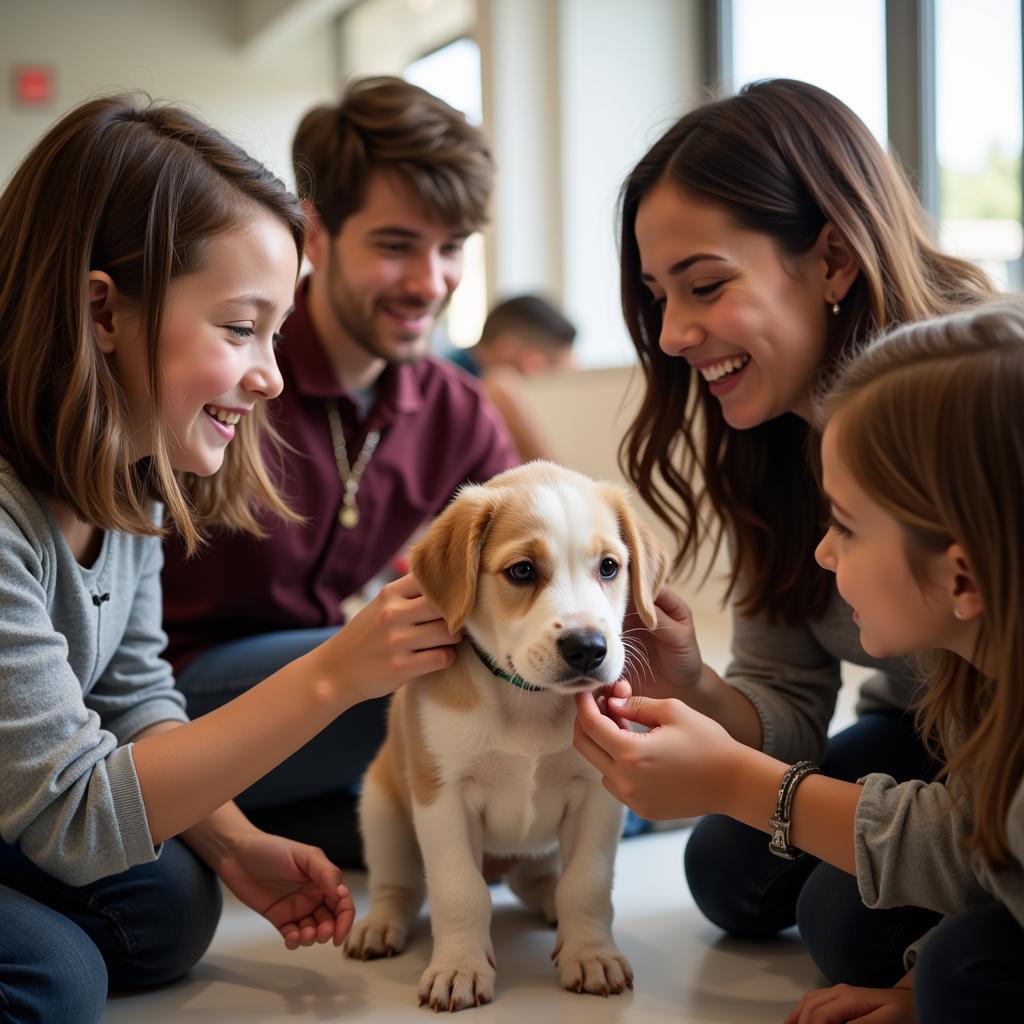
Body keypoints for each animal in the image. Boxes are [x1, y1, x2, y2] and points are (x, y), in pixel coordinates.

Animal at [339, 462, 667, 1007]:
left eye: (608, 567)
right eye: (522, 571)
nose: (587, 647)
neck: (527, 702)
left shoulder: (599, 794)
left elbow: (587, 883)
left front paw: (590, 954)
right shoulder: (443, 798)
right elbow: (459, 891)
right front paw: (458, 968)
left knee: (540, 880)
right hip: (380, 807)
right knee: (399, 886)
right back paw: (379, 926)